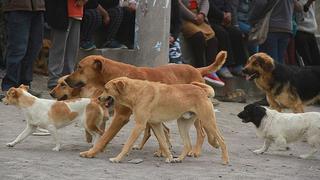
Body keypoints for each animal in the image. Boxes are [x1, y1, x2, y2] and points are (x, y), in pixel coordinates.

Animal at [99, 77, 229, 165]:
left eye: (106, 88)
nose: (98, 98)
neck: (137, 91)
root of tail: (202, 91)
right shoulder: (156, 125)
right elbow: (164, 143)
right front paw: (170, 158)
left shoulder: (139, 125)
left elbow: (127, 145)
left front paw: (117, 159)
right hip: (182, 124)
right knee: (187, 145)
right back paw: (179, 159)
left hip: (208, 121)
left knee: (222, 140)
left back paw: (225, 160)